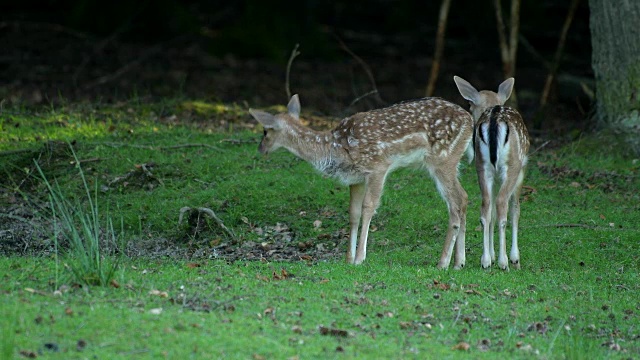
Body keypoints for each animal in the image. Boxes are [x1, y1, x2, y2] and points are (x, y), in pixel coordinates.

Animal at [250, 95, 476, 270]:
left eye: (265, 131)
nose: (260, 149)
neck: (335, 148)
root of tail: (470, 120)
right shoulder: (355, 178)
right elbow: (353, 213)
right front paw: (348, 258)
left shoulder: (378, 166)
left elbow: (369, 207)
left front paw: (360, 258)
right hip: (453, 161)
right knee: (465, 197)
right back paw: (459, 262)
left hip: (442, 159)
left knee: (456, 201)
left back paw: (443, 262)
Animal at [456, 76, 528, 270]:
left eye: (470, 104)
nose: (470, 115)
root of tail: (494, 120)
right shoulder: (521, 172)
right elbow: (515, 210)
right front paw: (515, 258)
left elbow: (492, 214)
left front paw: (492, 256)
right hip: (512, 165)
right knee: (502, 204)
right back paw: (504, 262)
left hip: (482, 166)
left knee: (486, 208)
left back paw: (486, 260)